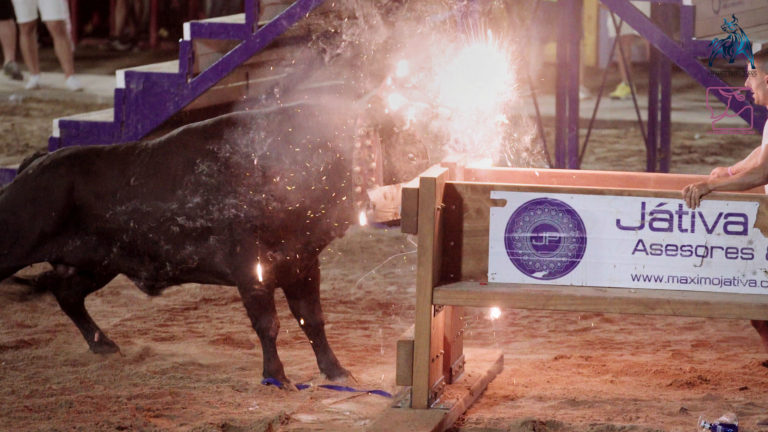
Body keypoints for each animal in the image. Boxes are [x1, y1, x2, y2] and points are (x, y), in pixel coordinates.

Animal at [0, 103, 366, 384]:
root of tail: (35, 165)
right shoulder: (251, 268)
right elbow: (268, 324)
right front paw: (275, 376)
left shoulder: (302, 263)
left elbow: (312, 319)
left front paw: (336, 370)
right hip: (19, 248)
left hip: (98, 264)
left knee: (68, 294)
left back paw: (103, 344)